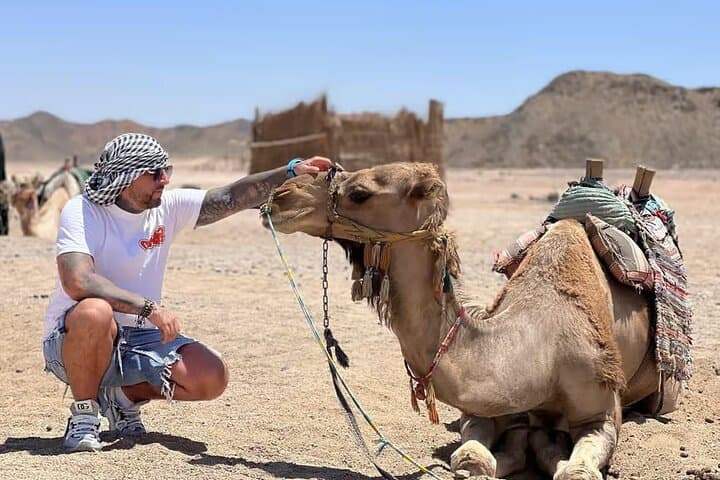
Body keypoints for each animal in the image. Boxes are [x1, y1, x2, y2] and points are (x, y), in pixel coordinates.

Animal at [263, 163, 682, 480]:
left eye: (360, 192)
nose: (282, 195)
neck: (542, 342)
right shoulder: (487, 405)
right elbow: (471, 456)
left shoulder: (601, 409)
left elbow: (575, 471)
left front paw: (550, 449)